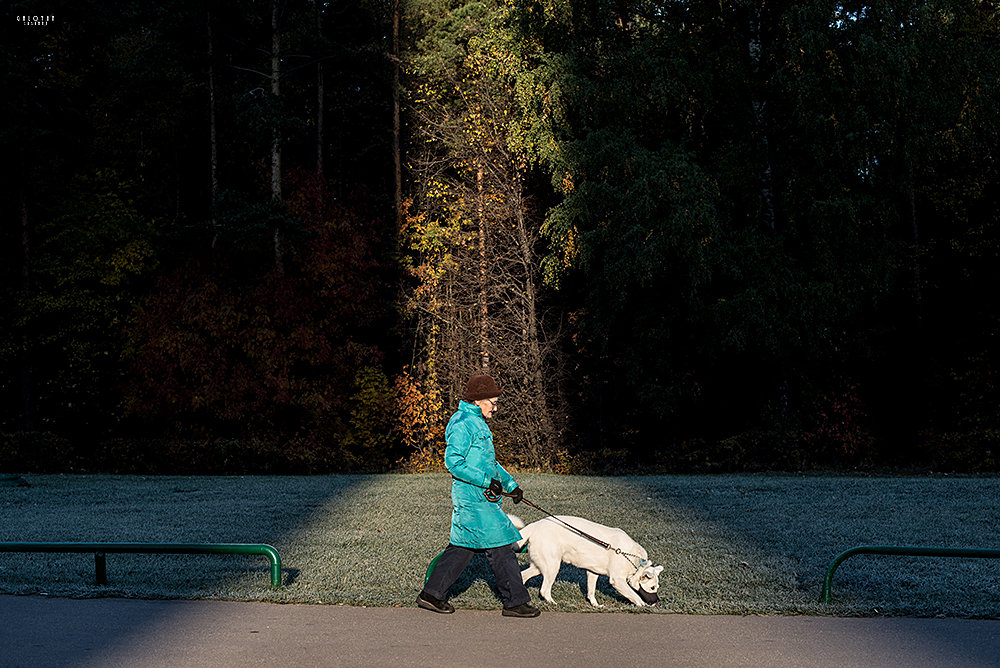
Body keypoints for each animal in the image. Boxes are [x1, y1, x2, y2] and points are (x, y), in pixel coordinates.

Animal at [508, 516, 664, 608]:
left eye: (657, 587)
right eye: (652, 588)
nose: (657, 602)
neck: (634, 560)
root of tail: (535, 525)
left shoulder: (593, 572)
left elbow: (591, 591)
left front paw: (595, 605)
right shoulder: (617, 580)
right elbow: (634, 594)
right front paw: (642, 604)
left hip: (540, 566)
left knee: (523, 576)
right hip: (552, 567)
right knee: (544, 590)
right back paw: (553, 603)